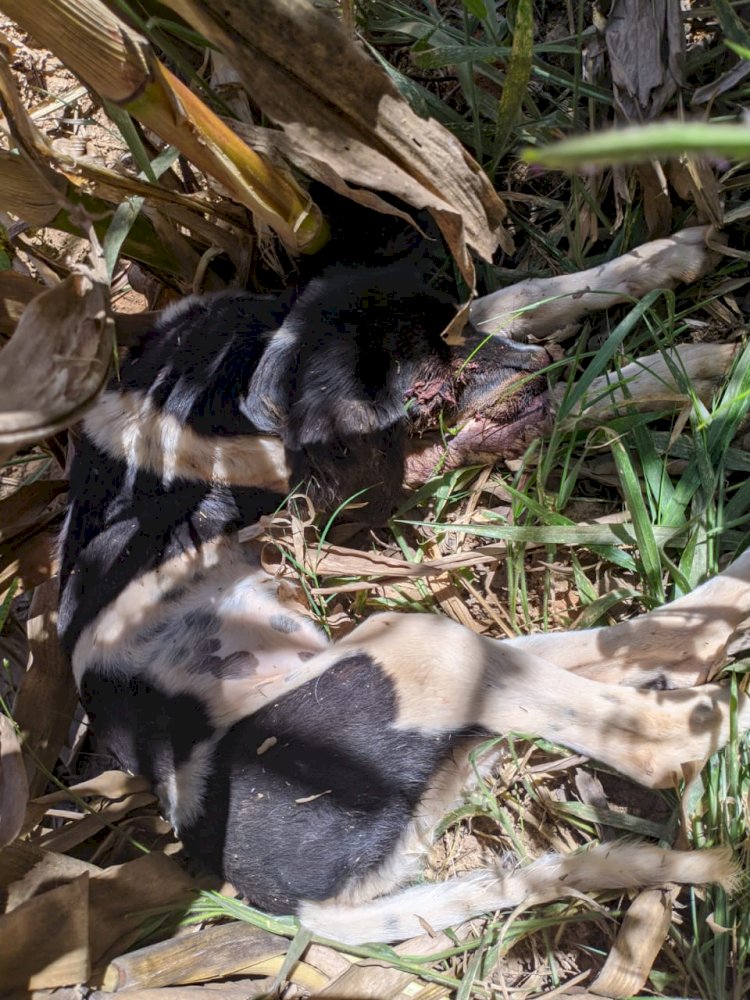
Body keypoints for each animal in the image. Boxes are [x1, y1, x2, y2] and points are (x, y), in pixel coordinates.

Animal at [60, 225, 750, 944]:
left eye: (457, 328)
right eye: (432, 388)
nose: (543, 360)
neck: (240, 372)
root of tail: (292, 904)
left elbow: (524, 296)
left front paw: (663, 274)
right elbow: (573, 401)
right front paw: (672, 365)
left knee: (628, 649)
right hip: (418, 654)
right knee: (653, 742)